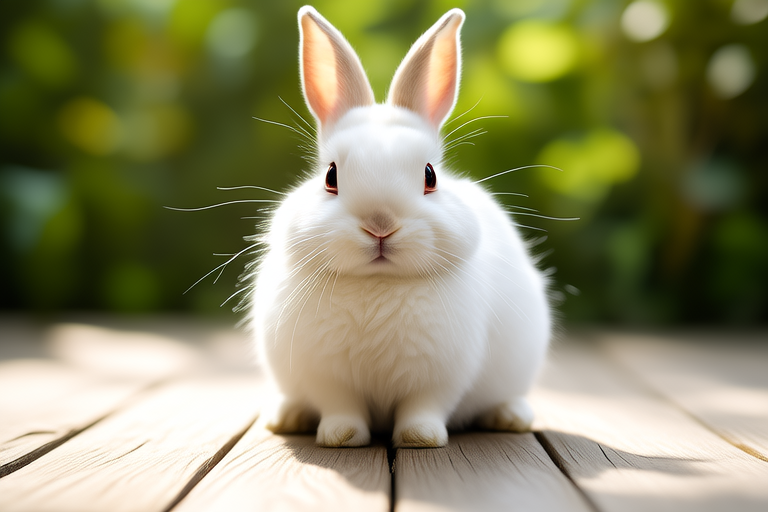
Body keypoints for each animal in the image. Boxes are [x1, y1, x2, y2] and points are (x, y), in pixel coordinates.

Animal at [249, 5, 551, 448]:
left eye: (430, 176)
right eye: (330, 177)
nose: (380, 225)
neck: (379, 282)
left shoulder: (441, 375)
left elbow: (423, 407)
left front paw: (419, 438)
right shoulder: (326, 376)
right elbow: (341, 407)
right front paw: (340, 437)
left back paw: (511, 416)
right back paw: (286, 417)